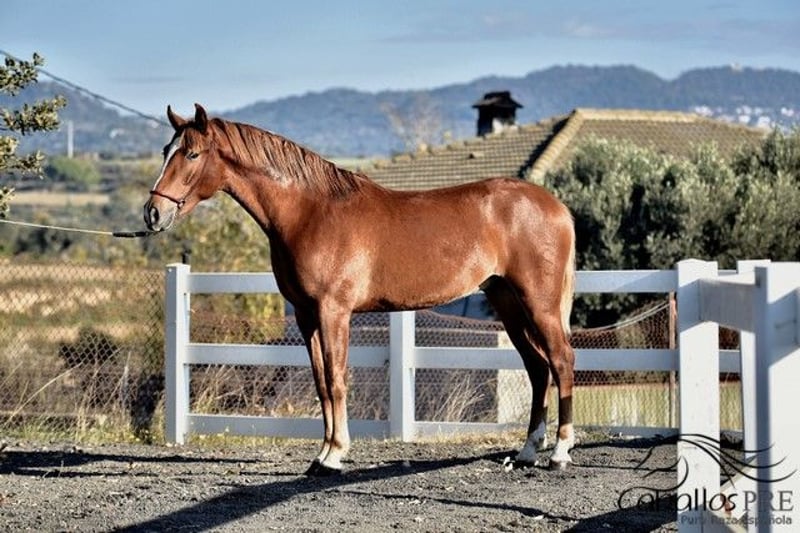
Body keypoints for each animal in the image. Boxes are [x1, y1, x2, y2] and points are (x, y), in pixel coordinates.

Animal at [144, 104, 577, 476]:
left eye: (192, 154)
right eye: (167, 151)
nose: (153, 213)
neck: (310, 212)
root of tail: (557, 207)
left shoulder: (333, 311)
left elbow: (337, 379)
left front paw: (335, 455)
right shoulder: (306, 316)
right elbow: (321, 383)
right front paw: (322, 454)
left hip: (538, 303)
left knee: (561, 361)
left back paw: (559, 452)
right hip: (508, 303)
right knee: (538, 367)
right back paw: (527, 451)